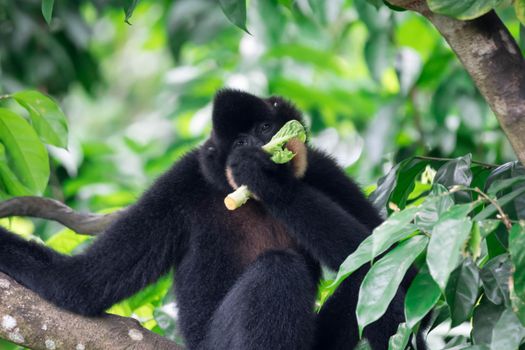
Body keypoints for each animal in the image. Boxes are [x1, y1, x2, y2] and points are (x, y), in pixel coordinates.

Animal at [0, 90, 418, 350]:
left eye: (264, 128)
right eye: (240, 142)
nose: (258, 145)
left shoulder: (321, 169)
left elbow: (399, 254)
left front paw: (269, 180)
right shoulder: (179, 185)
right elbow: (81, 283)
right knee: (278, 270)